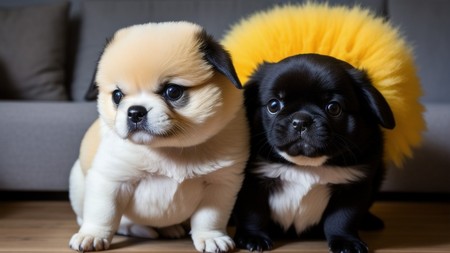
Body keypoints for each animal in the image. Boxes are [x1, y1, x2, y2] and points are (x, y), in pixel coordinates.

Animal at [68, 22, 248, 253]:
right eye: (117, 96)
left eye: (173, 92)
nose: (135, 112)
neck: (169, 148)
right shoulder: (110, 180)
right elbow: (103, 213)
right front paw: (93, 235)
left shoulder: (220, 184)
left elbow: (210, 217)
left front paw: (211, 237)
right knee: (114, 221)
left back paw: (170, 229)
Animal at [234, 53, 396, 253]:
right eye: (273, 105)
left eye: (333, 108)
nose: (301, 121)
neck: (306, 164)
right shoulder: (253, 183)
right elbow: (253, 213)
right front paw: (252, 237)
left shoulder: (353, 187)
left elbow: (342, 220)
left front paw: (346, 241)